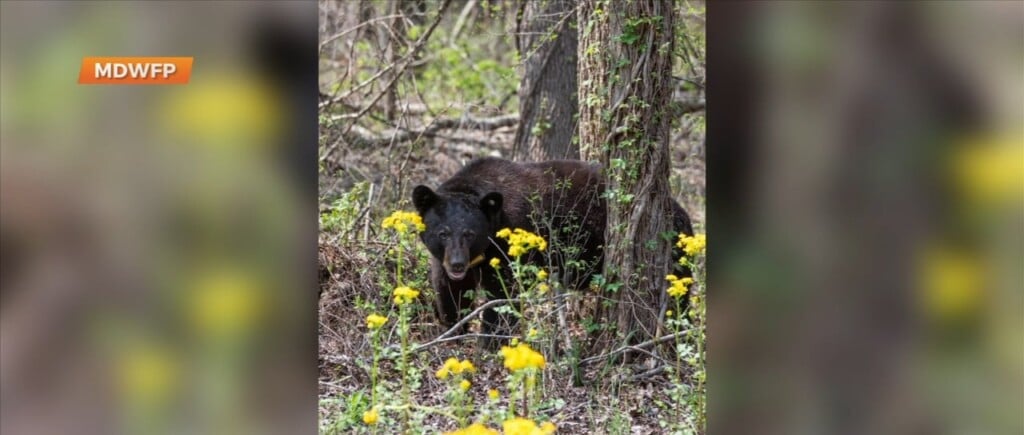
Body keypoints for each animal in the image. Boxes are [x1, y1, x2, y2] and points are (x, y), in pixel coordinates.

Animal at [412, 157, 693, 348]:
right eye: (443, 233)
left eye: (470, 233)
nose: (457, 264)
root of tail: (681, 212)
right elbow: (450, 291)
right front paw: (453, 331)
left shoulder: (509, 244)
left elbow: (503, 295)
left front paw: (489, 342)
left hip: (673, 255)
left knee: (680, 295)